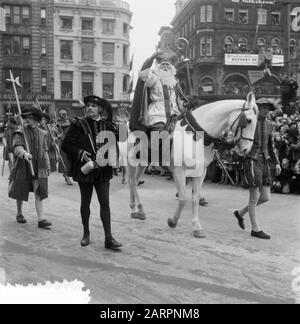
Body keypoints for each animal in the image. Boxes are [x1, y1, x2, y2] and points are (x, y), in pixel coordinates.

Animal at [124, 92, 258, 238]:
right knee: (132, 182)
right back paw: (139, 209)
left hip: (143, 163)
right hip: (132, 161)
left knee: (134, 182)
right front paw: (173, 221)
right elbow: (183, 198)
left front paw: (197, 227)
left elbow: (194, 198)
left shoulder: (201, 172)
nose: (245, 150)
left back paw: (135, 209)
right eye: (248, 120)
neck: (196, 136)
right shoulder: (179, 171)